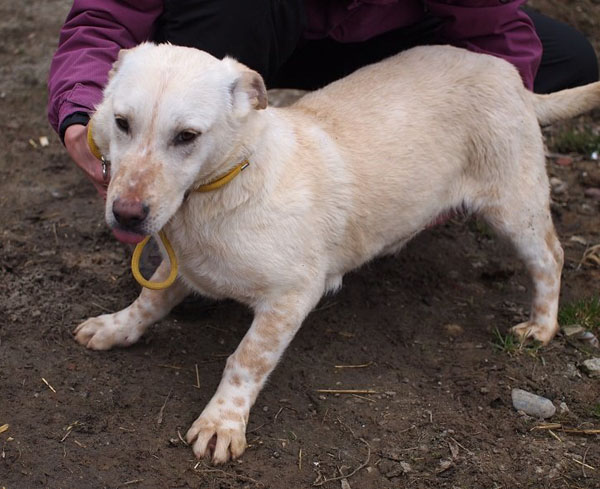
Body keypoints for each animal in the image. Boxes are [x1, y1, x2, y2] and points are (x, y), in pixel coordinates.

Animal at [74, 42, 600, 462]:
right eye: (121, 123)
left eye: (187, 136)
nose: (126, 215)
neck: (219, 191)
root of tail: (512, 78)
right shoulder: (180, 264)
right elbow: (149, 300)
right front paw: (117, 327)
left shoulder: (291, 296)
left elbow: (246, 359)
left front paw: (222, 422)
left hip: (515, 206)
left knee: (550, 257)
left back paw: (542, 326)